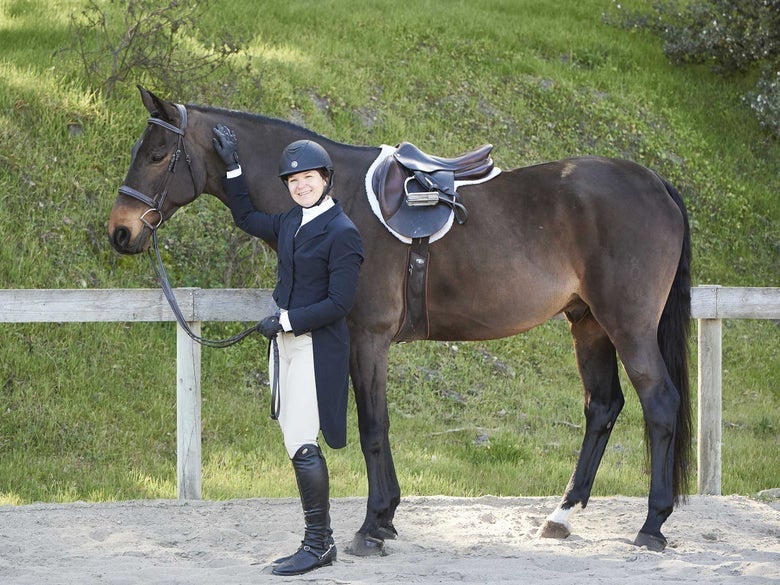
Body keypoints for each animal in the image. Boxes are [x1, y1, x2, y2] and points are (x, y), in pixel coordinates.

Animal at [108, 86, 692, 554]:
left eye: (157, 155)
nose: (120, 230)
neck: (336, 197)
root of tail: (654, 181)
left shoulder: (367, 337)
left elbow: (372, 427)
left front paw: (372, 526)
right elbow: (378, 426)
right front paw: (386, 519)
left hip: (627, 325)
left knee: (660, 403)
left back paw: (652, 526)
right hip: (587, 322)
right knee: (603, 406)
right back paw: (561, 516)